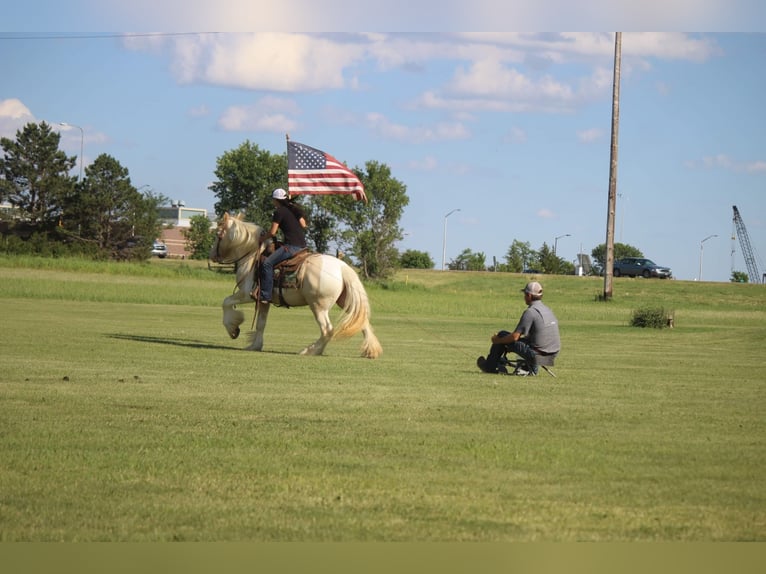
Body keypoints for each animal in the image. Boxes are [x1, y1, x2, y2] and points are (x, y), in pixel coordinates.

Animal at [210, 214, 384, 360]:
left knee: (327, 330)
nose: (212, 256)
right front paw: (255, 346)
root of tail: (342, 267)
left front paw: (233, 328)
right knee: (362, 323)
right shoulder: (264, 300)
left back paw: (310, 351)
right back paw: (371, 351)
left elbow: (226, 302)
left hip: (318, 306)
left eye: (218, 234)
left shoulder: (246, 294)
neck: (252, 257)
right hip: (345, 301)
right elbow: (260, 324)